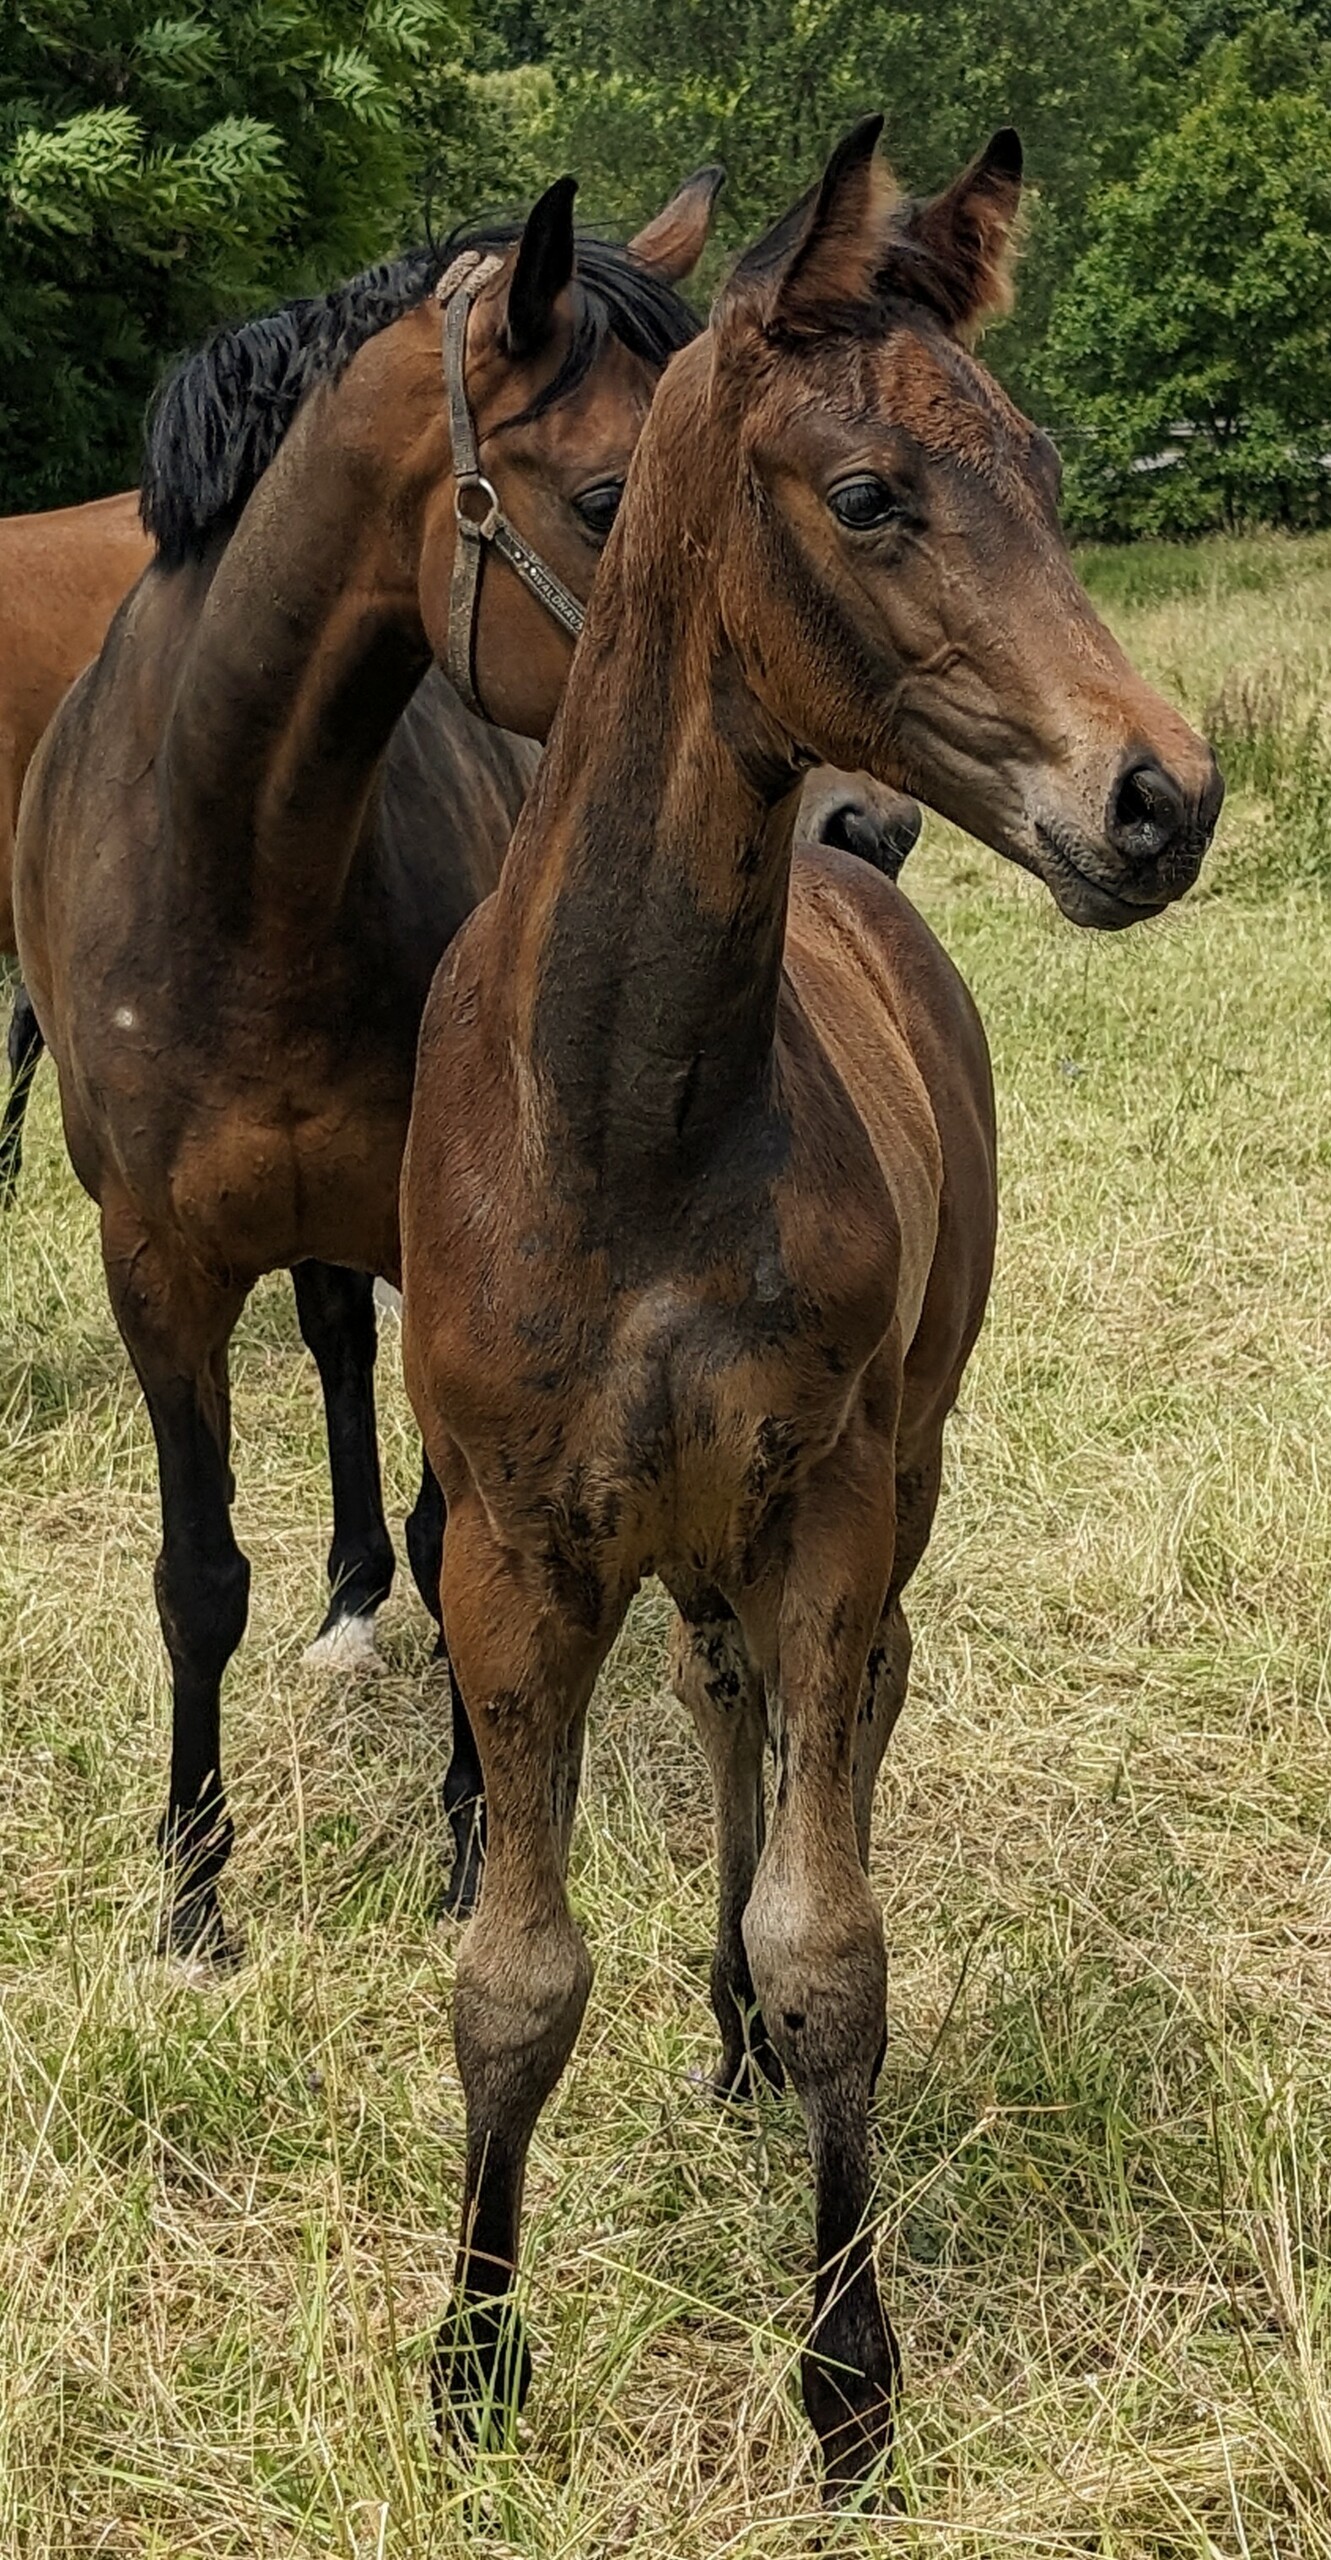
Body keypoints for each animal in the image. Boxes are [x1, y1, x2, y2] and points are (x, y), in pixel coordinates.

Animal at [399, 120, 1223, 2497]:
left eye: (1044, 470)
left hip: (895, 1467)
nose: (1161, 793)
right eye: (867, 496)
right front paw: (472, 2357)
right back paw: (717, 2025)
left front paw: (846, 2367)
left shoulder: (835, 1492)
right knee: (720, 1696)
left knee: (829, 1702)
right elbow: (515, 1977)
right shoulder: (510, 1542)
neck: (623, 1114)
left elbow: (838, 1937)